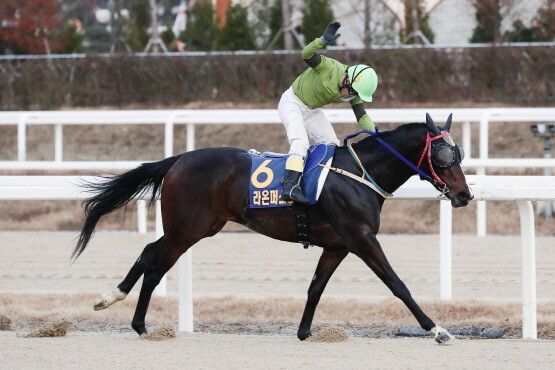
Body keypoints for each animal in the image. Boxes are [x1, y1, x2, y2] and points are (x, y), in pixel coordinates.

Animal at [74, 113, 474, 344]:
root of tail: (178, 159)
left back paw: (121, 306)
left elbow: (316, 287)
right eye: (444, 156)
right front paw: (437, 329)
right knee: (155, 261)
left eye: (460, 155)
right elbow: (397, 284)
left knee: (150, 257)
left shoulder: (338, 245)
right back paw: (131, 316)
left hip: (196, 228)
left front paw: (304, 331)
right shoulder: (361, 238)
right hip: (187, 229)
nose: (465, 195)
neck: (360, 174)